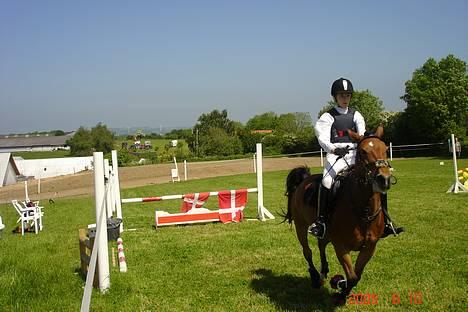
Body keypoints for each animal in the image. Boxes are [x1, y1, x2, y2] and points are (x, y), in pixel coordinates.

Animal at [286, 125, 392, 302]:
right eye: (363, 151)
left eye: (385, 149)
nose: (384, 179)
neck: (363, 211)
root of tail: (304, 180)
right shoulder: (341, 246)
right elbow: (352, 276)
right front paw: (340, 287)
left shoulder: (369, 247)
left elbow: (357, 275)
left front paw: (342, 289)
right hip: (301, 226)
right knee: (307, 251)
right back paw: (315, 278)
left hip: (326, 233)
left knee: (321, 245)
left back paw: (323, 272)